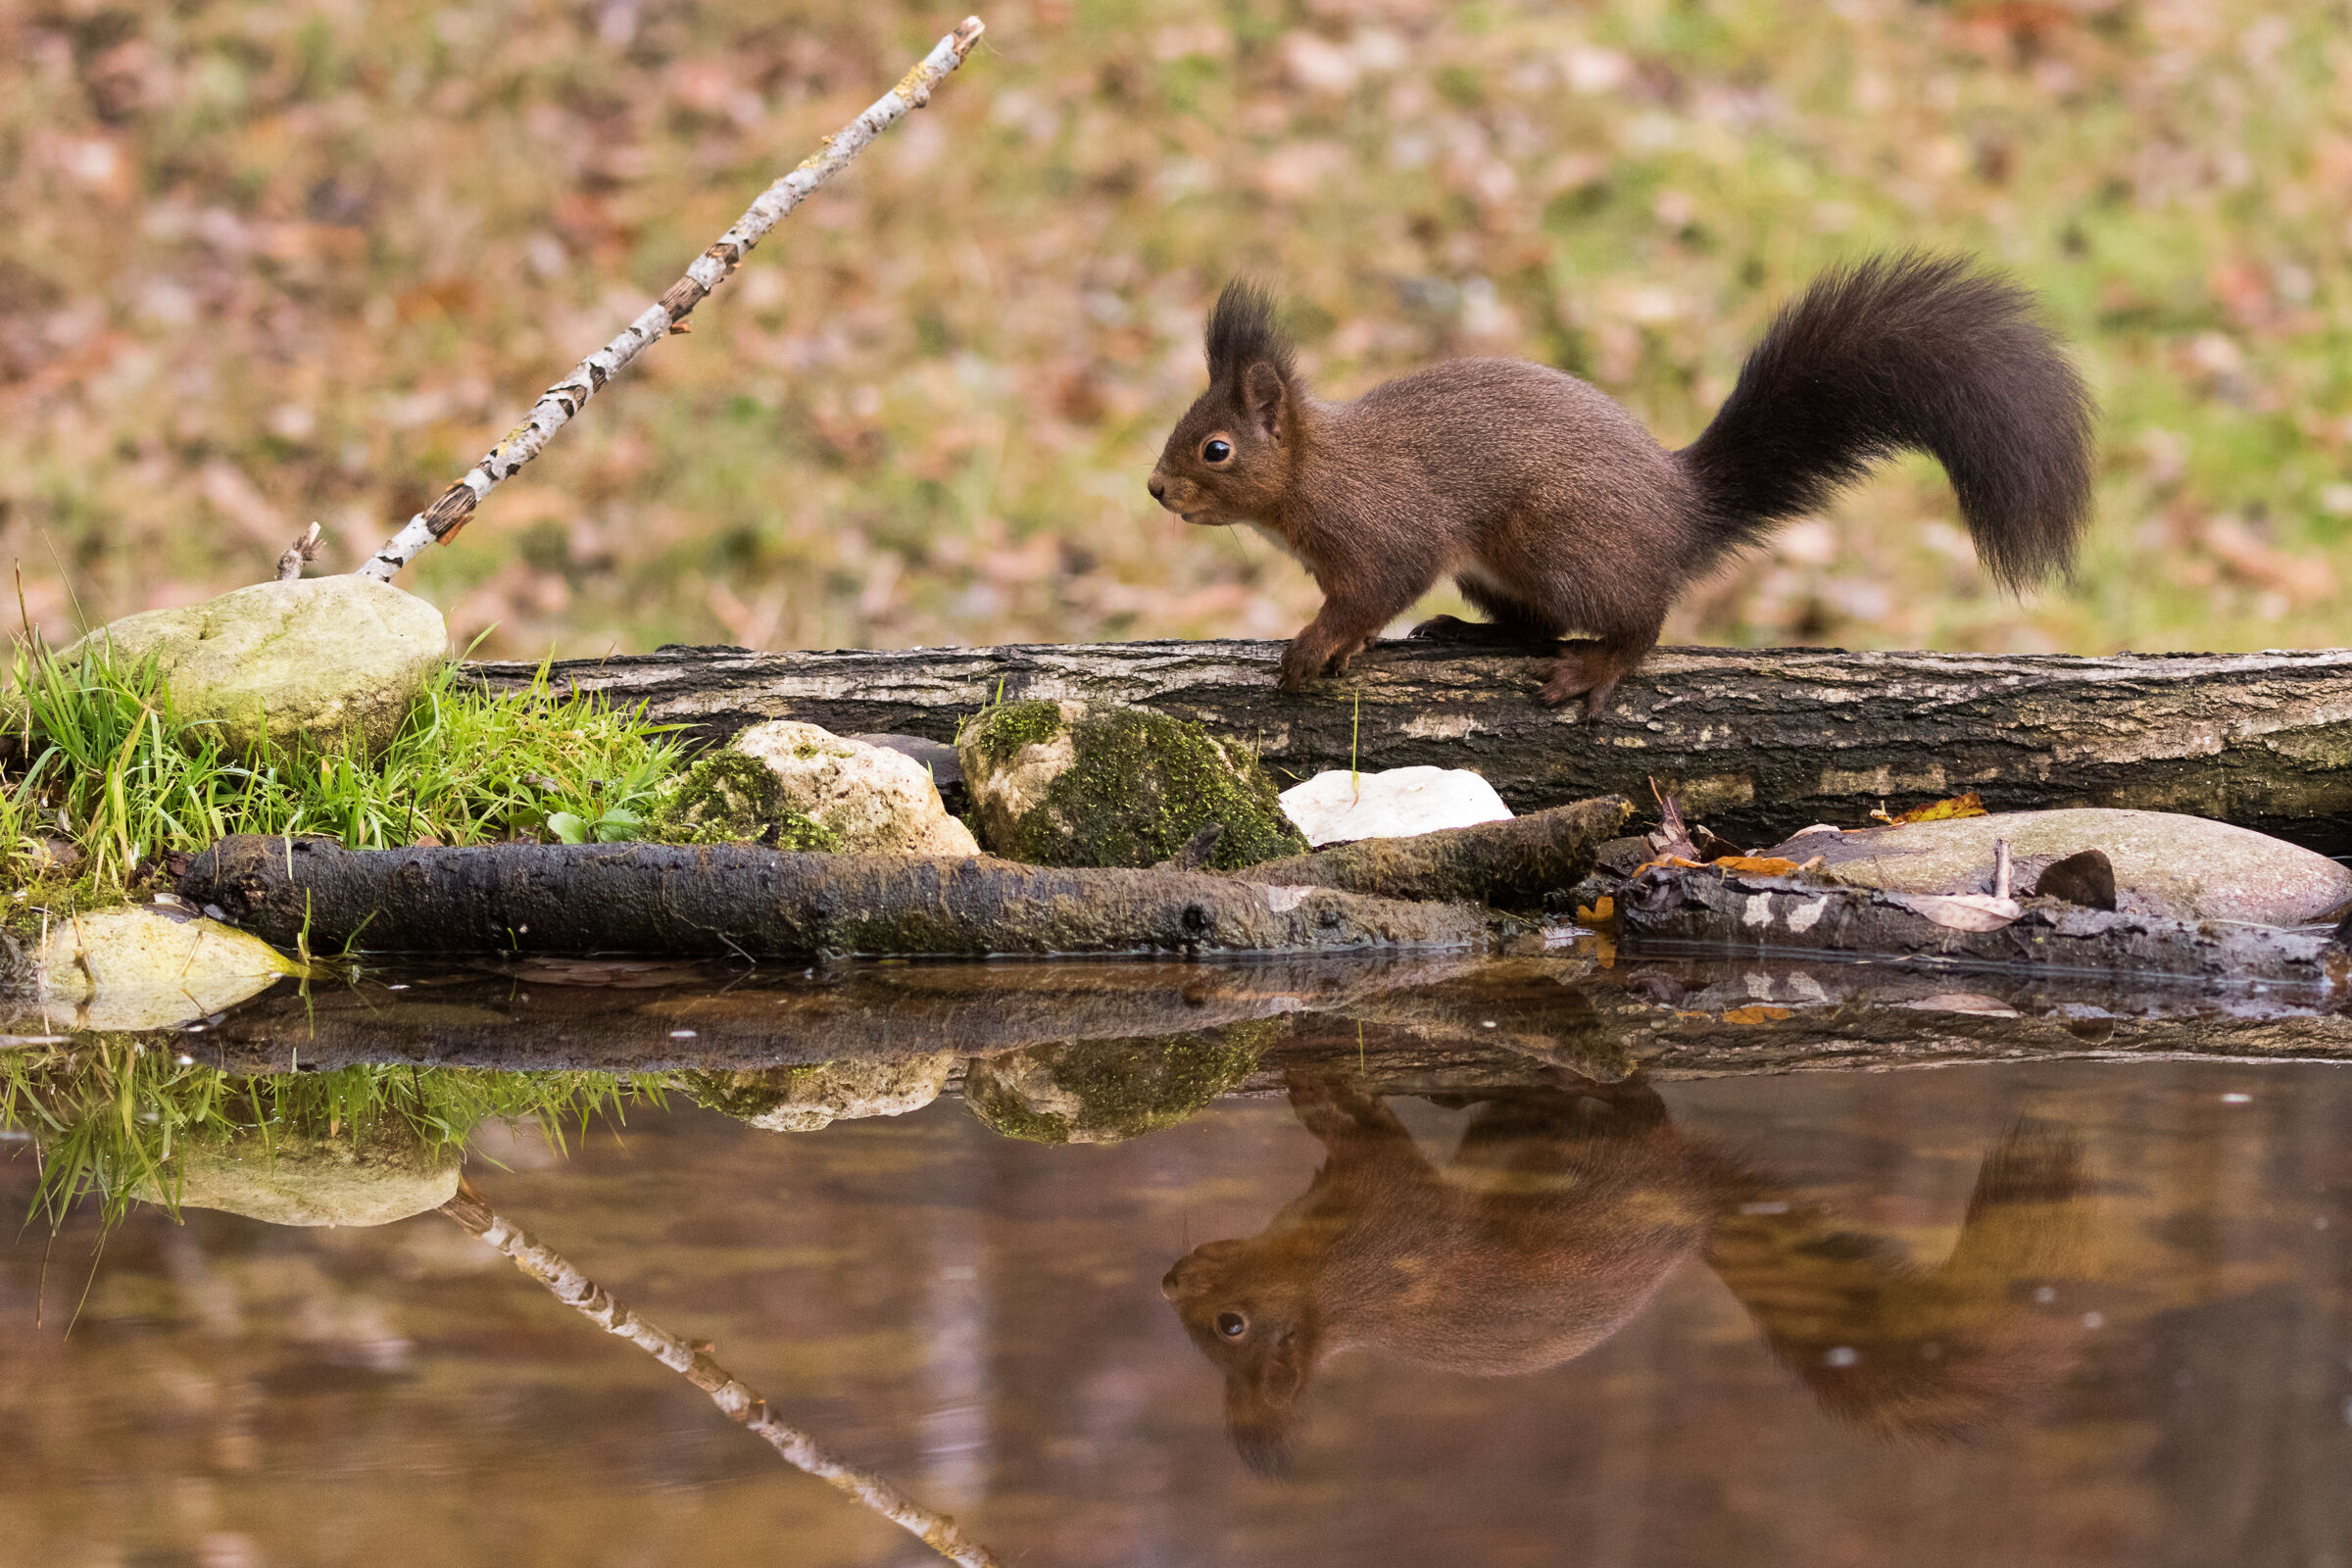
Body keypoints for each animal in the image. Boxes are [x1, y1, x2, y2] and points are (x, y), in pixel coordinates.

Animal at [1146, 255, 2096, 714]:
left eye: (1216, 449)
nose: (1156, 490)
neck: (1312, 476)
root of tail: (1681, 510)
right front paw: (1345, 643)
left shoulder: (1382, 530)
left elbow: (1373, 590)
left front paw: (1316, 645)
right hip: (1505, 566)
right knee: (1533, 626)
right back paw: (1468, 633)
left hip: (1557, 543)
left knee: (1638, 619)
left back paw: (1596, 668)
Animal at [1161, 1072, 2091, 1477]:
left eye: (1231, 1327)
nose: (1168, 1280)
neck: (1324, 1277)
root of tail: (1694, 1202)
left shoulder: (1390, 1220)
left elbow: (1371, 1140)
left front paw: (1319, 1087)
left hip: (1593, 1161)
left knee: (1631, 1108)